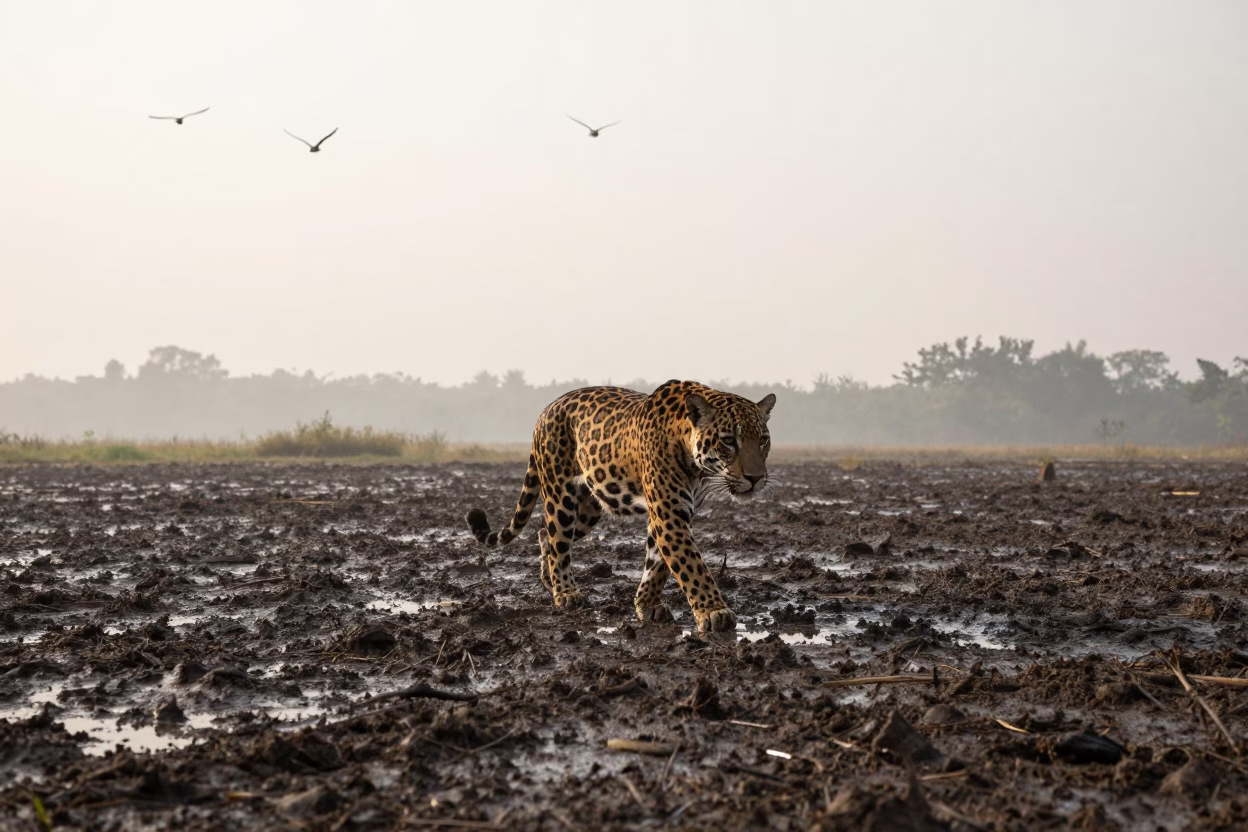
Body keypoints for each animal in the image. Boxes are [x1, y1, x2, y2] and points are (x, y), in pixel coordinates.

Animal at [465, 379, 776, 634]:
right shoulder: (668, 512)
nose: (756, 478)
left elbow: (658, 563)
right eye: (728, 441)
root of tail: (547, 409)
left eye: (763, 439)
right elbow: (691, 564)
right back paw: (566, 593)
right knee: (557, 539)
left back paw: (549, 580)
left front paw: (648, 605)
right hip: (560, 494)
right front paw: (714, 612)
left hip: (589, 508)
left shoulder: (674, 512)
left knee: (545, 534)